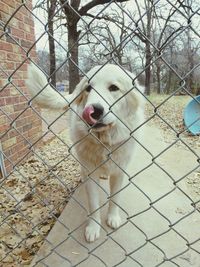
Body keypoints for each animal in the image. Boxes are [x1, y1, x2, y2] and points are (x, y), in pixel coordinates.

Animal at [26, 63, 145, 244]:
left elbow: (115, 199)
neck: (104, 143)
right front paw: (93, 228)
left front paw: (113, 218)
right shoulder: (90, 173)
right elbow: (93, 205)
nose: (94, 110)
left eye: (114, 88)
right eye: (88, 88)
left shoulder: (119, 172)